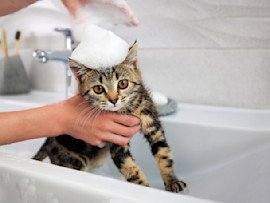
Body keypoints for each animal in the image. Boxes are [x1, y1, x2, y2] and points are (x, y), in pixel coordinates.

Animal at [33, 42, 186, 193]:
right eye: (98, 89)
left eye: (123, 83)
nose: (113, 100)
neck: (127, 110)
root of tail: (48, 142)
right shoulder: (117, 140)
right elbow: (130, 169)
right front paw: (144, 188)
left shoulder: (152, 123)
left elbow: (163, 153)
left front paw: (172, 181)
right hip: (72, 160)